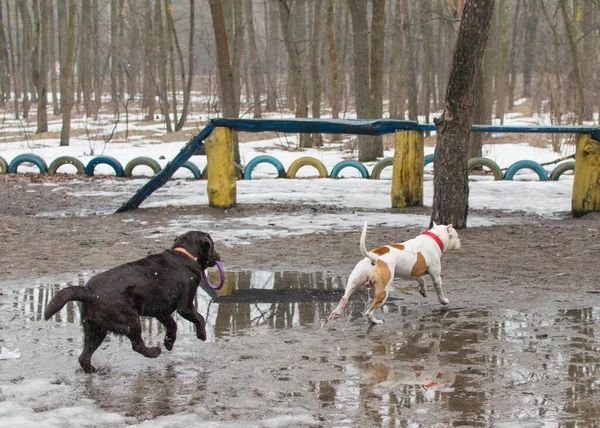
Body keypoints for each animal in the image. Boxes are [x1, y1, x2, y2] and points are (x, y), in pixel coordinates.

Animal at [45, 229, 220, 372]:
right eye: (213, 245)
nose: (219, 255)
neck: (185, 253)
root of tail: (89, 292)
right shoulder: (185, 305)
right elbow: (199, 318)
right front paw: (202, 334)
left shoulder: (160, 311)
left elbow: (172, 325)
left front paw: (169, 342)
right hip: (130, 321)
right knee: (137, 345)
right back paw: (154, 351)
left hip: (95, 330)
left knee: (84, 357)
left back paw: (94, 370)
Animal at [330, 221, 462, 324]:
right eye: (457, 236)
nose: (460, 242)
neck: (434, 237)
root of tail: (375, 257)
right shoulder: (436, 277)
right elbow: (439, 290)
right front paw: (444, 301)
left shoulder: (414, 273)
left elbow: (421, 280)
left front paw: (423, 291)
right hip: (383, 292)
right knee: (368, 312)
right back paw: (376, 321)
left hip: (354, 281)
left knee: (344, 297)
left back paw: (336, 312)